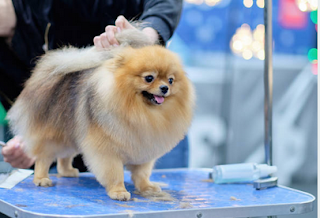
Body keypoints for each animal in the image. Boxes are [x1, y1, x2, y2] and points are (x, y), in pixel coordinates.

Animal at [8, 28, 195, 201]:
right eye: (149, 78)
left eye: (171, 80)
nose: (165, 88)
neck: (141, 111)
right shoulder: (107, 151)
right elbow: (115, 173)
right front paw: (118, 192)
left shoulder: (144, 148)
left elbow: (142, 173)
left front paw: (146, 187)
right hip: (53, 136)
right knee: (43, 158)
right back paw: (41, 178)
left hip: (72, 132)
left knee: (65, 156)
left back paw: (67, 171)